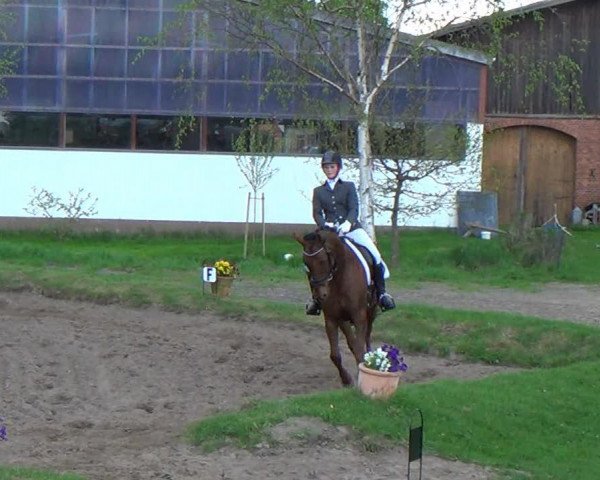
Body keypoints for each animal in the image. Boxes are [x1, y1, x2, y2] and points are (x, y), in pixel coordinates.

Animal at [294, 229, 376, 386]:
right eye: (306, 264)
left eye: (322, 260)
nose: (320, 295)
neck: (339, 278)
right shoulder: (332, 318)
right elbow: (335, 355)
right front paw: (347, 380)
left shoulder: (359, 316)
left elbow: (359, 346)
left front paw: (361, 375)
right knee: (352, 341)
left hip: (371, 311)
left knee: (367, 336)